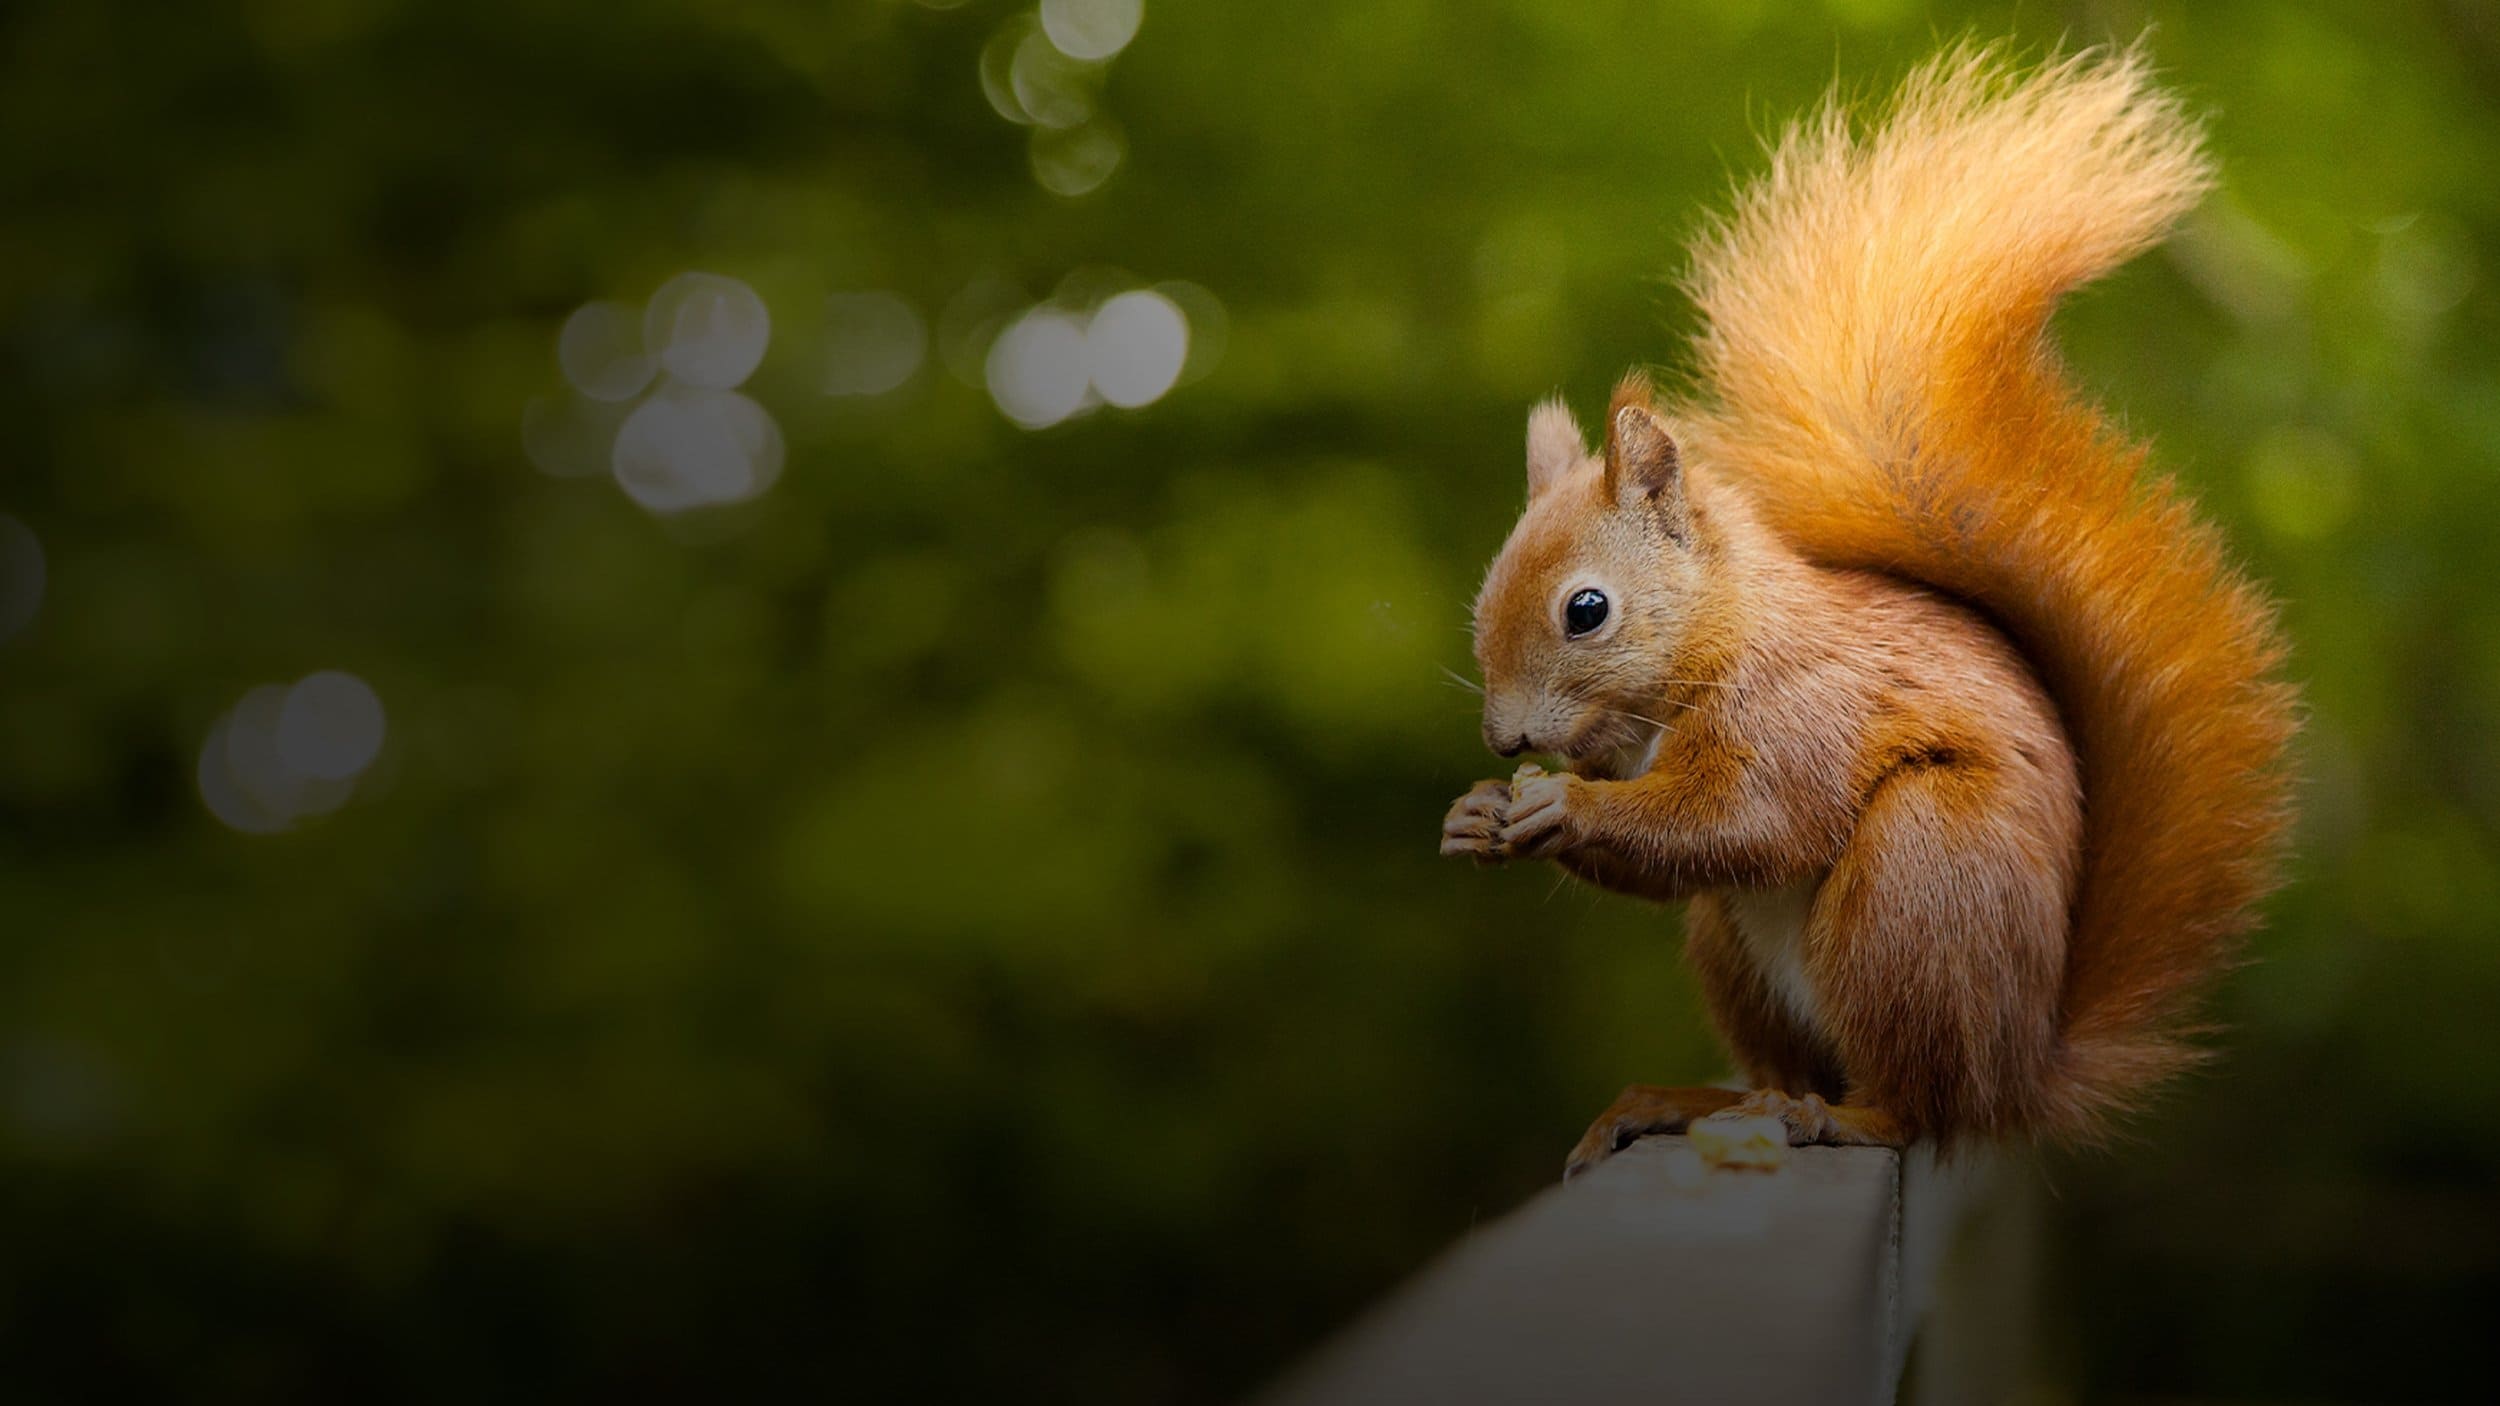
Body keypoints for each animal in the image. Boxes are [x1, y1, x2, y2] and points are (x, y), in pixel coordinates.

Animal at [1450, 46, 2300, 1170]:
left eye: (1585, 609)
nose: (1505, 742)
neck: (1719, 634)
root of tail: (2020, 1070)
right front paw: (1476, 812)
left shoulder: (1802, 711)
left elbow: (1743, 819)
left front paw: (1563, 806)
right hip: (1738, 949)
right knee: (1788, 1064)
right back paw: (1688, 1100)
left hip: (1917, 880)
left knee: (1915, 1104)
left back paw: (1843, 1116)